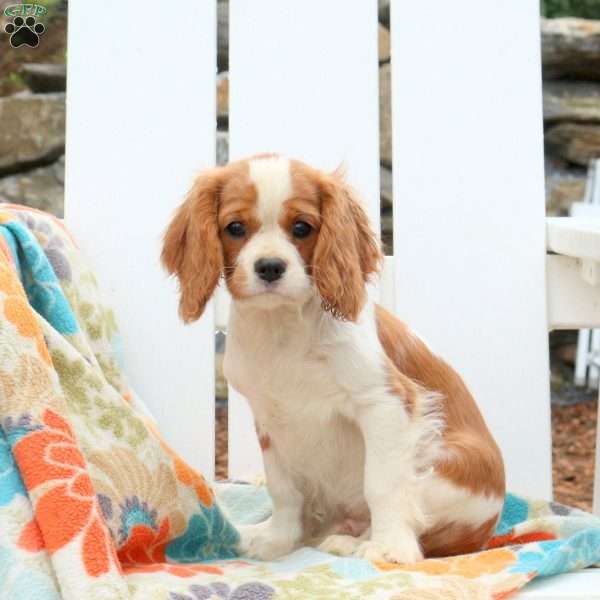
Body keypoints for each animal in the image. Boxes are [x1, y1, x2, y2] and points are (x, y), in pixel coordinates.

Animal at [162, 154, 504, 564]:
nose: (270, 266)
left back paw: (358, 541)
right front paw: (277, 540)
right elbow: (283, 490)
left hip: (444, 464)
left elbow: (383, 483)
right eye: (235, 228)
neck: (283, 327)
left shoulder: (385, 403)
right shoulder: (270, 420)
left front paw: (390, 548)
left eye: (302, 227)